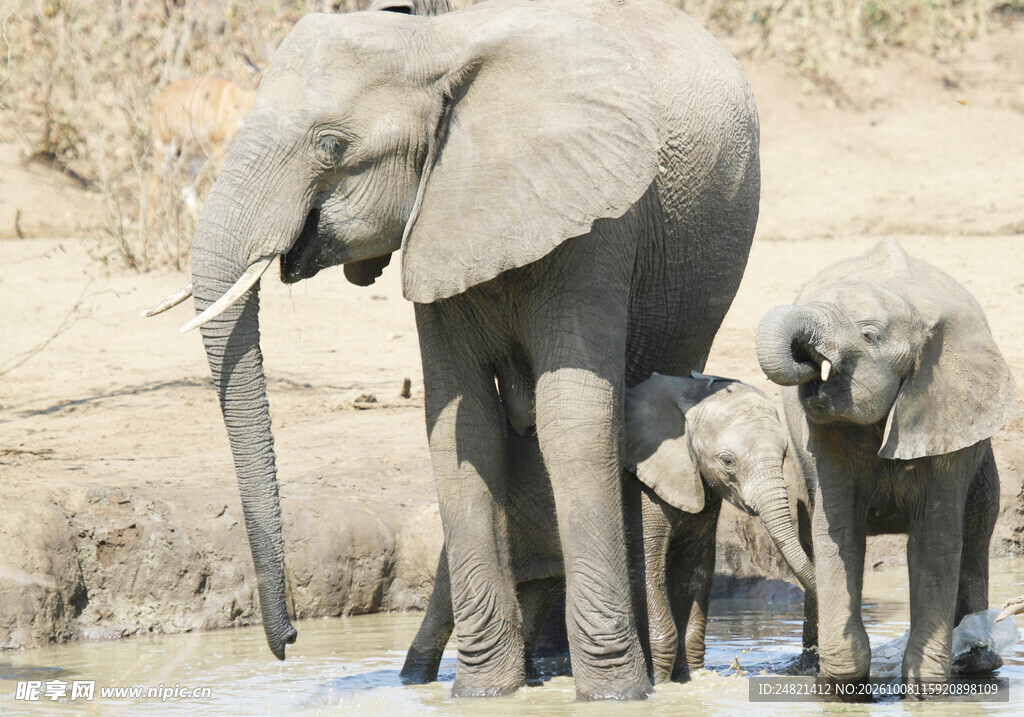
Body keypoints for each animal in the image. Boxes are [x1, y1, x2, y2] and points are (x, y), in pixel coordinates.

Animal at [149, 0, 760, 699]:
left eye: (331, 146)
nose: (290, 641)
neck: (435, 45)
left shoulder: (599, 222)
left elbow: (572, 419)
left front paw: (614, 693)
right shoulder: (435, 221)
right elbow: (462, 423)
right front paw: (488, 691)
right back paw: (550, 666)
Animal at [400, 373, 816, 686]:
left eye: (784, 455)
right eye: (727, 461)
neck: (691, 394)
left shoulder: (700, 488)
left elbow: (696, 571)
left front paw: (690, 677)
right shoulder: (638, 485)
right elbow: (645, 570)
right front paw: (662, 681)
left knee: (538, 593)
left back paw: (531, 680)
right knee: (445, 597)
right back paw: (415, 680)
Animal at [755, 238, 1016, 689]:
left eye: (869, 335)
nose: (805, 354)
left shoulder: (943, 413)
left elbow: (933, 539)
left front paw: (926, 688)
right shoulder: (824, 435)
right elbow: (838, 533)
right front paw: (844, 684)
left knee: (978, 529)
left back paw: (978, 662)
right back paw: (807, 666)